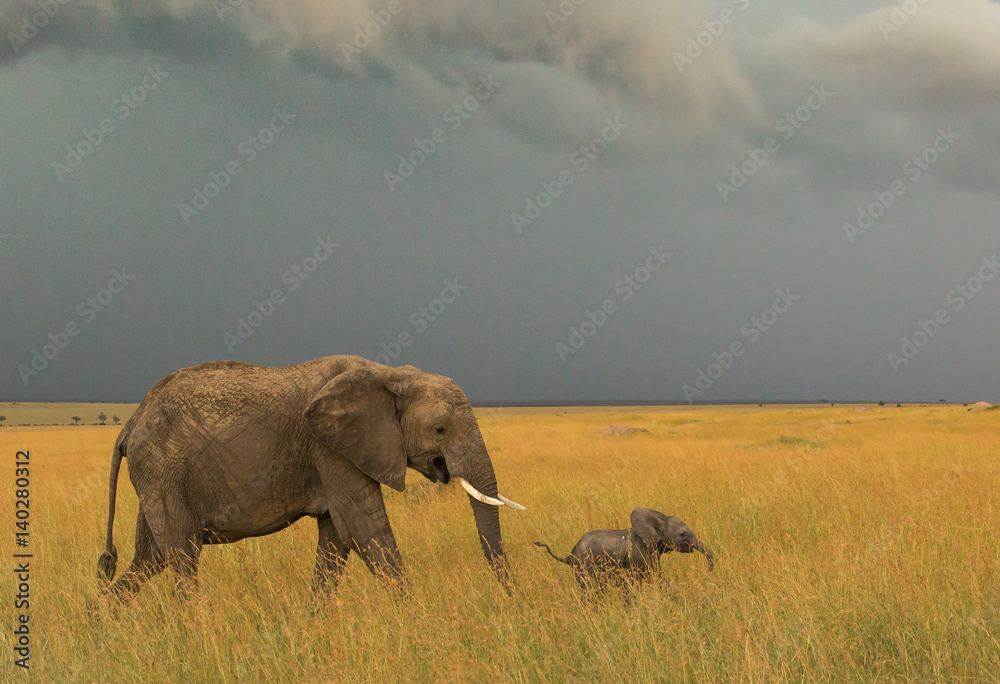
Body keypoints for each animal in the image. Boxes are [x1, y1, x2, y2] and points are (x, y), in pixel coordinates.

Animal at [96, 355, 524, 603]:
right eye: (439, 430)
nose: (516, 601)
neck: (389, 375)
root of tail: (131, 422)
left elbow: (336, 539)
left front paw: (311, 625)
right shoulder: (331, 448)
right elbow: (367, 530)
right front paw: (417, 621)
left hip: (158, 475)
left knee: (150, 558)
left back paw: (99, 623)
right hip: (163, 470)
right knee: (181, 557)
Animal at [534, 507, 713, 589]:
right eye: (682, 534)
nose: (708, 572)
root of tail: (570, 555)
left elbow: (660, 578)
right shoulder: (637, 556)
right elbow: (632, 584)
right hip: (584, 566)